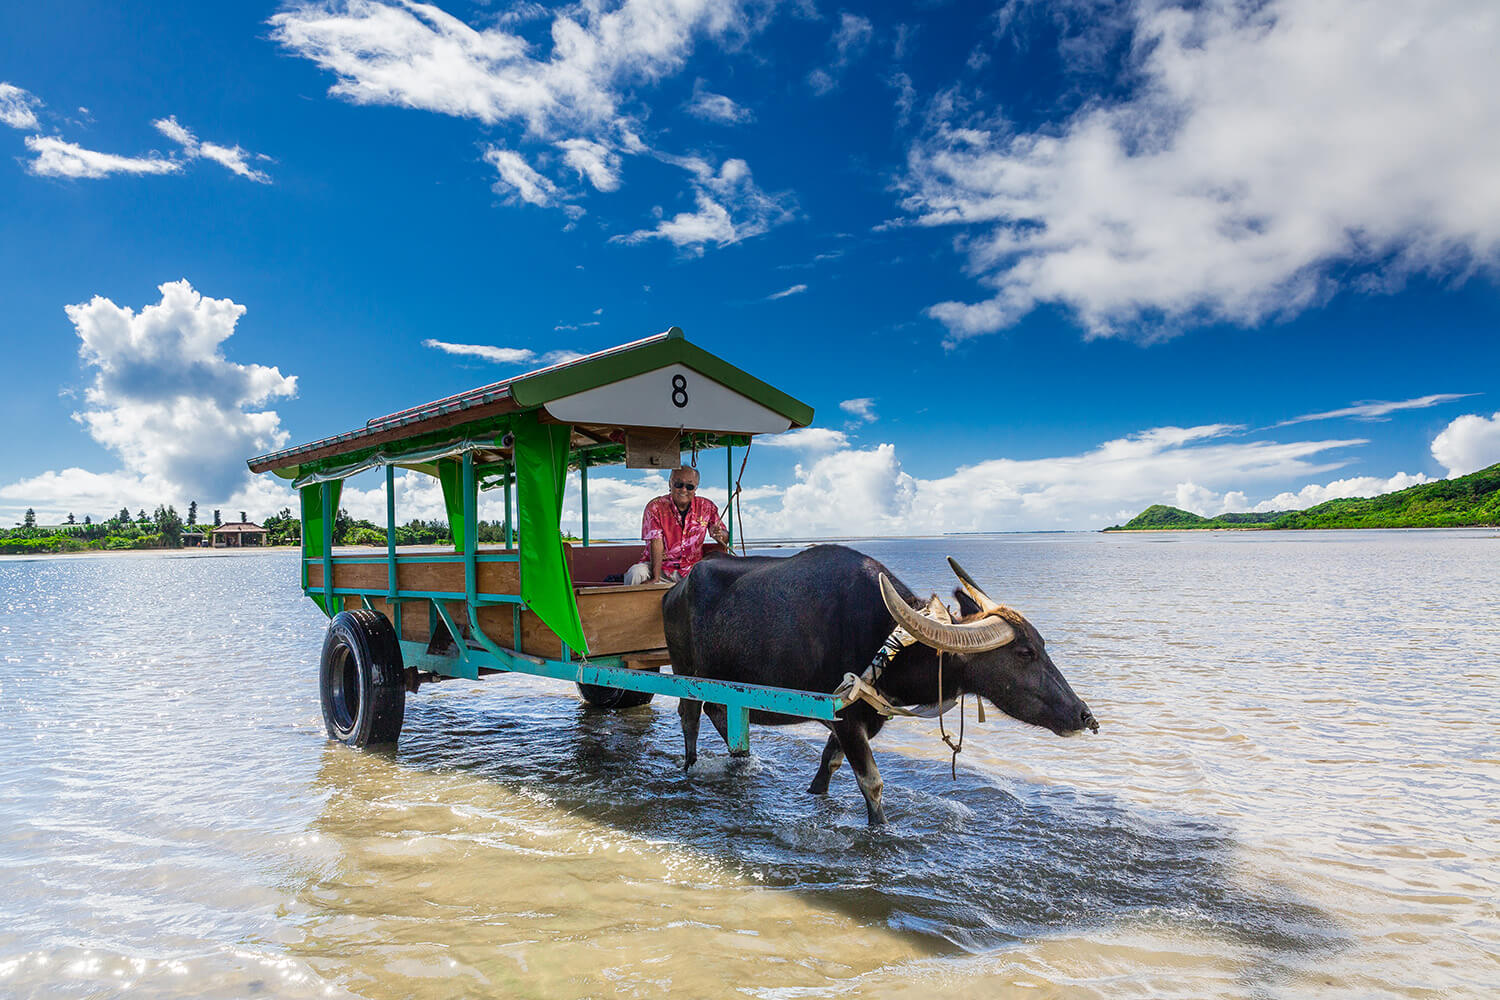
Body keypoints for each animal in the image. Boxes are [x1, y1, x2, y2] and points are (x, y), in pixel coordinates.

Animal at [663, 548, 1098, 821]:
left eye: (1042, 644)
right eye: (1024, 652)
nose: (1085, 716)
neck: (888, 643)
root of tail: (676, 589)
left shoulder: (859, 720)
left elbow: (830, 763)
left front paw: (815, 792)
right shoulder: (845, 718)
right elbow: (871, 783)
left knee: (721, 712)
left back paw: (740, 761)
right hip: (687, 673)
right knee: (690, 716)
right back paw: (690, 765)